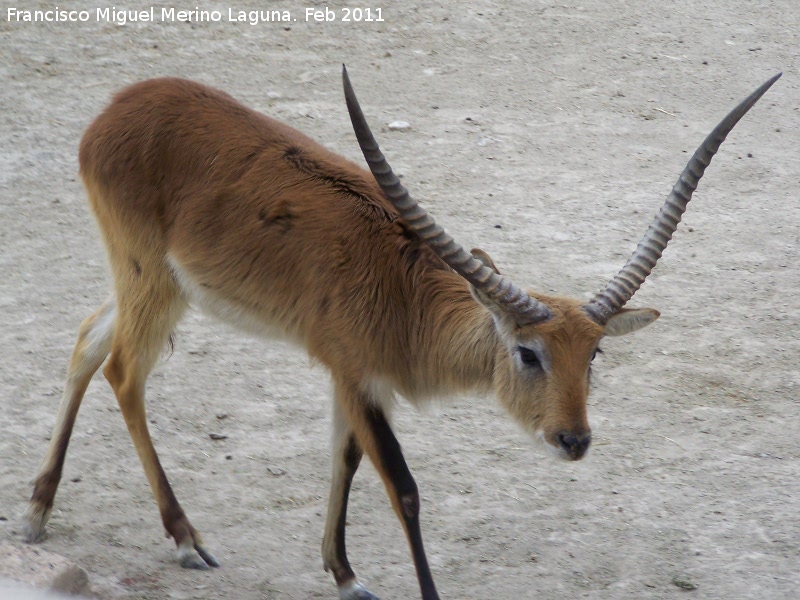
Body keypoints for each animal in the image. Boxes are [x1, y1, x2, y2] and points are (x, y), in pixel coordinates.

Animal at [21, 65, 780, 600]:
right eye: (527, 352)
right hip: (153, 279)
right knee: (123, 371)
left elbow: (346, 461)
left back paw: (36, 514)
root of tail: (118, 108)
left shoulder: (355, 381)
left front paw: (345, 576)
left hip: (153, 285)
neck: (404, 288)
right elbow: (403, 486)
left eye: (594, 353)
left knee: (88, 339)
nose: (574, 440)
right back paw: (185, 541)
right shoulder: (354, 374)